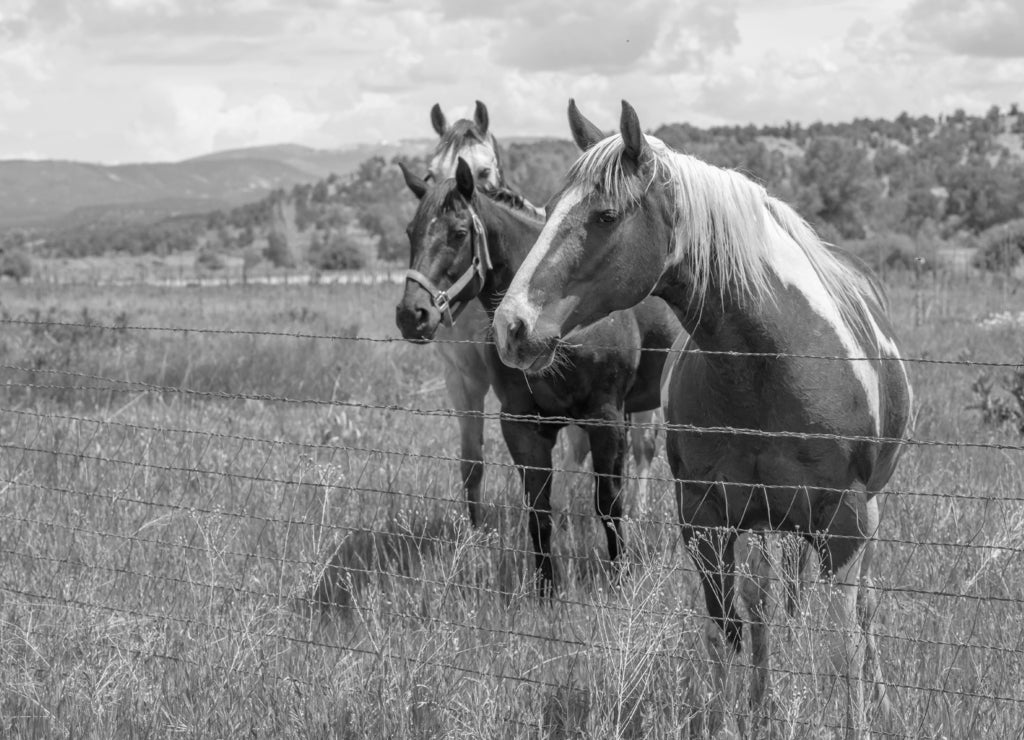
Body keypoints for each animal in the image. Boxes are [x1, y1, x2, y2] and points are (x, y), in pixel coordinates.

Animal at [396, 156, 683, 590]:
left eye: (459, 233)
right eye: (411, 232)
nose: (412, 315)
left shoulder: (606, 418)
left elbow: (608, 503)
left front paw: (619, 577)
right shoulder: (521, 424)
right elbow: (538, 508)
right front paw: (547, 586)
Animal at [409, 101, 657, 527]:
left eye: (485, 170)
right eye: (430, 172)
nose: (412, 313)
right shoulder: (470, 384)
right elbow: (473, 463)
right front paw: (476, 533)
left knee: (642, 449)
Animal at [493, 100, 912, 738]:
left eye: (606, 215)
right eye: (549, 207)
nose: (511, 326)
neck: (767, 364)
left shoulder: (845, 524)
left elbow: (845, 642)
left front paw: (860, 719)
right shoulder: (706, 521)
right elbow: (725, 633)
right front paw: (733, 716)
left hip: (861, 514)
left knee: (860, 610)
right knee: (764, 609)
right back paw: (763, 702)